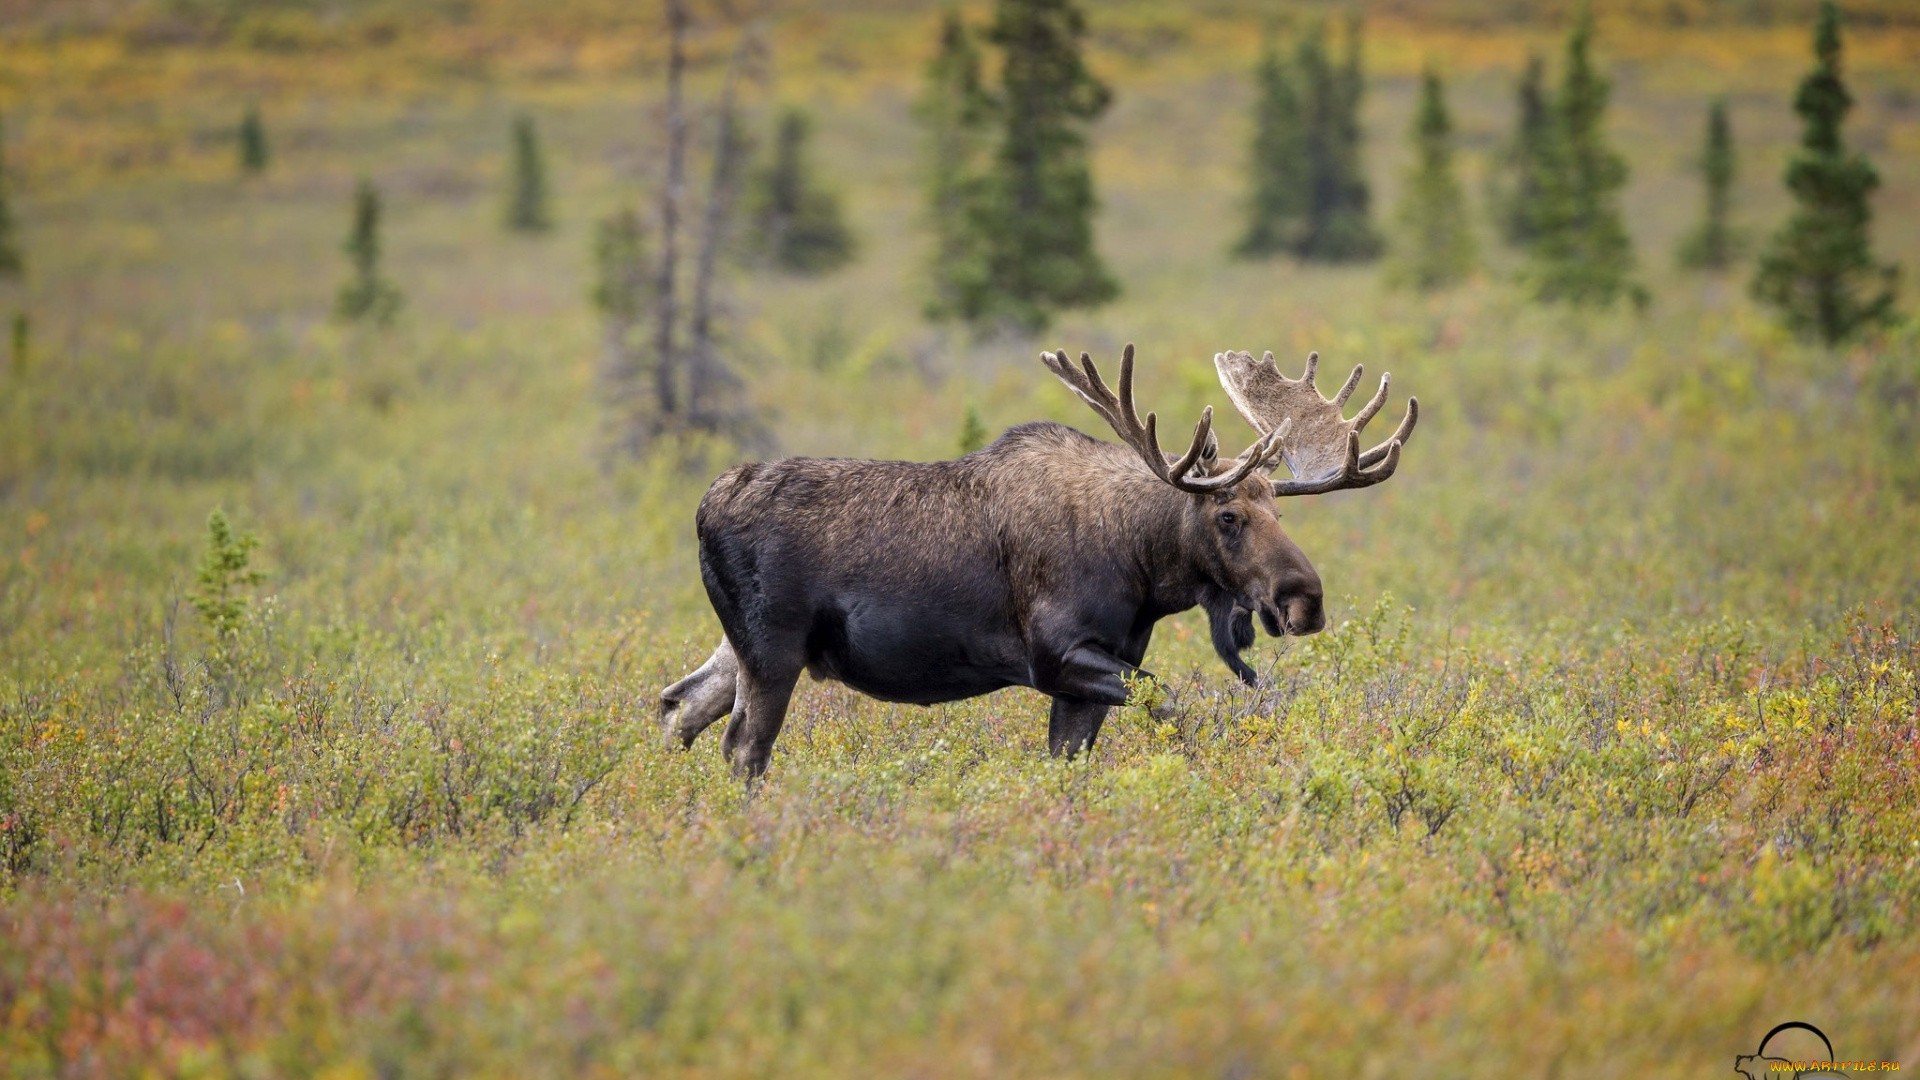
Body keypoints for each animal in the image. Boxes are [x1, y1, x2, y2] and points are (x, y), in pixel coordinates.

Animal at [660, 343, 1413, 772]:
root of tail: (704, 506)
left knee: (677, 706)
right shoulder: (1055, 656)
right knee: (743, 747)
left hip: (740, 649)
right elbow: (1171, 704)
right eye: (1228, 515)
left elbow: (1069, 764)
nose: (1305, 599)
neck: (1144, 570)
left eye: (1280, 512)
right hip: (772, 649)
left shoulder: (1087, 674)